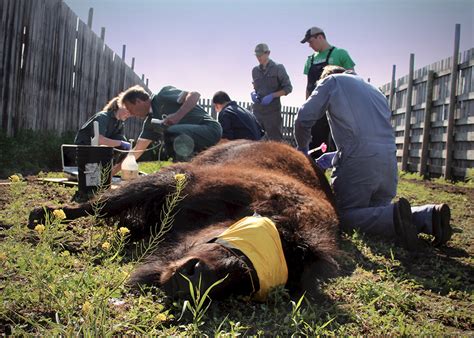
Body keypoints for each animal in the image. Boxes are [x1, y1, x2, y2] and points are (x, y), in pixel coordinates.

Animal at [29, 140, 338, 302]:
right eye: (246, 241)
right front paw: (43, 214)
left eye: (247, 283)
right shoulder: (182, 179)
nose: (196, 277)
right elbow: (102, 204)